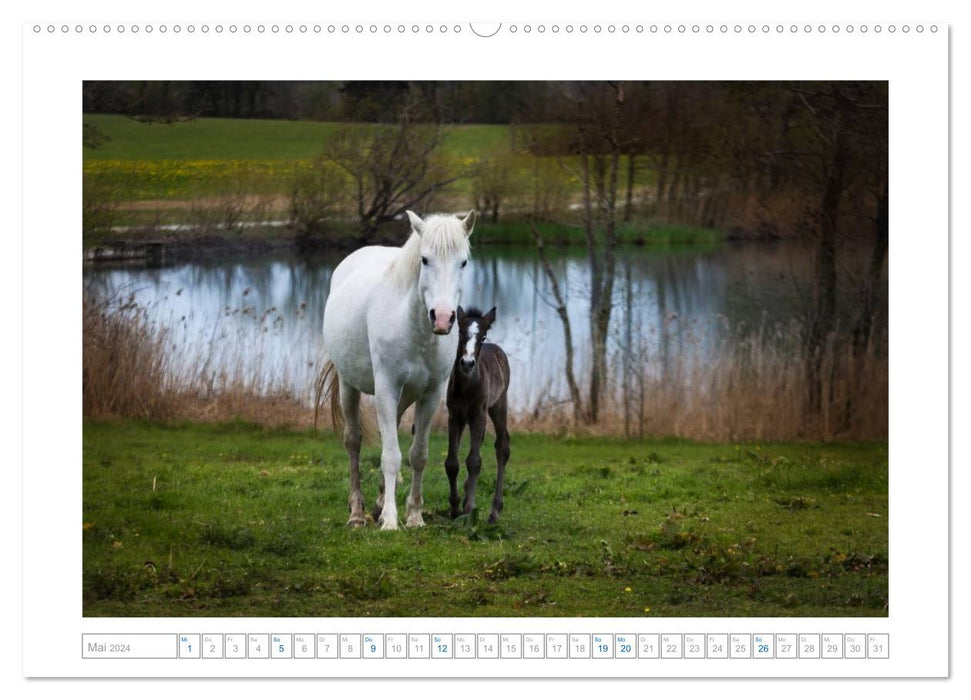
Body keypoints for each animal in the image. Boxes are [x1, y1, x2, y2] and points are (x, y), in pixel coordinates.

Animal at [322, 211, 474, 528]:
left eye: (463, 262)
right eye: (425, 259)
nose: (442, 318)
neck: (414, 329)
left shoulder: (430, 395)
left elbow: (418, 455)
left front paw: (414, 515)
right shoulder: (387, 389)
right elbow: (391, 456)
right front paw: (391, 521)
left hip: (403, 398)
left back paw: (379, 504)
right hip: (349, 386)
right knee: (353, 441)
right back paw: (357, 514)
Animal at [444, 308, 512, 524]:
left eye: (482, 337)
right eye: (459, 334)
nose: (467, 363)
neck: (467, 387)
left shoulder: (478, 414)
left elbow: (474, 462)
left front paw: (468, 509)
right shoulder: (455, 416)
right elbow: (452, 463)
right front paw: (455, 507)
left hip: (498, 406)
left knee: (502, 446)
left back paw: (495, 510)